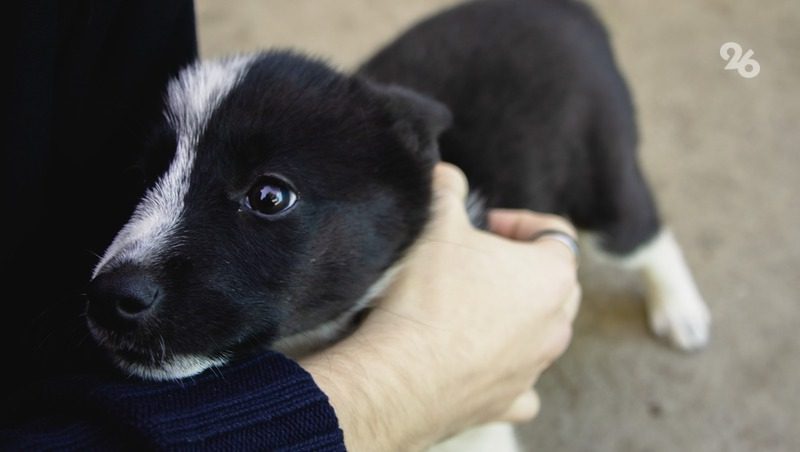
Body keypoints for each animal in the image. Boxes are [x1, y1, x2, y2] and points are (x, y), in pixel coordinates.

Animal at [89, 1, 712, 450]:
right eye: (141, 179)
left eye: (269, 196)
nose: (110, 297)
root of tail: (565, 9)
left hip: (600, 175)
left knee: (646, 233)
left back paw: (681, 311)